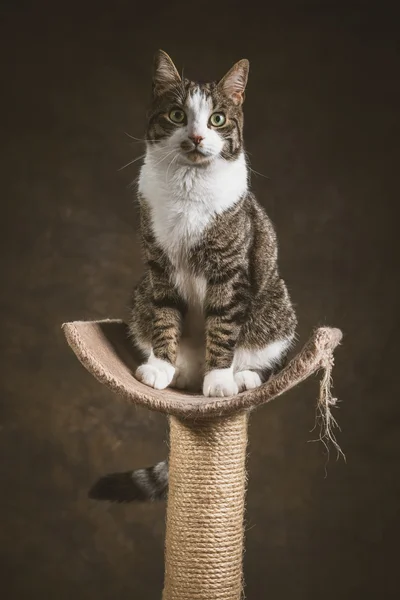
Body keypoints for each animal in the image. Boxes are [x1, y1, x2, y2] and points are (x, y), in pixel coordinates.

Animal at [90, 50, 296, 502]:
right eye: (177, 115)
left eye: (217, 119)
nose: (199, 137)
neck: (189, 184)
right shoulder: (158, 267)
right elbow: (166, 315)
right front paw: (160, 366)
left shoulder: (231, 269)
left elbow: (223, 325)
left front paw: (219, 381)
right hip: (139, 295)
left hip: (276, 304)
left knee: (263, 355)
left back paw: (242, 377)